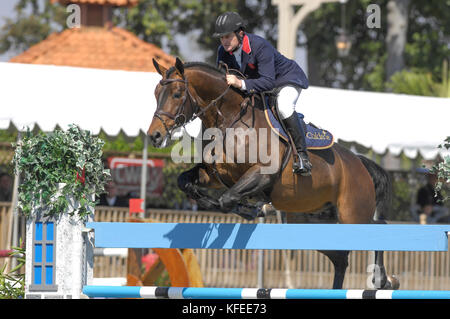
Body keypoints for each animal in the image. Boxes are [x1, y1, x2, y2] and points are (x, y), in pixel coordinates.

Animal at [148, 57, 398, 290]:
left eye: (177, 94)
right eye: (156, 94)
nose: (154, 136)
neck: (230, 120)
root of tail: (359, 163)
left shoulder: (261, 174)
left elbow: (227, 199)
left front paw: (253, 209)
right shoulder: (215, 176)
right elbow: (187, 183)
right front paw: (247, 208)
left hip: (352, 216)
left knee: (380, 226)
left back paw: (385, 280)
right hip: (309, 221)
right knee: (341, 257)